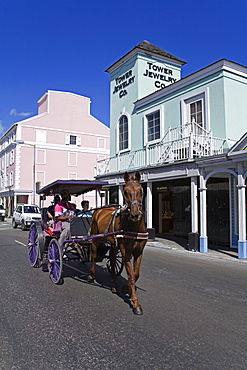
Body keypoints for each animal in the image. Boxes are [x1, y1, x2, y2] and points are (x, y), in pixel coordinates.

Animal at [88, 172, 148, 314]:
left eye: (140, 190)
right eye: (125, 191)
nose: (135, 214)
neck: (134, 228)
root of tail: (99, 209)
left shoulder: (139, 252)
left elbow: (136, 274)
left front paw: (126, 288)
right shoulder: (126, 252)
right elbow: (131, 276)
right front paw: (135, 303)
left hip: (114, 245)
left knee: (112, 260)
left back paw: (114, 285)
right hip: (95, 238)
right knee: (93, 256)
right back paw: (91, 275)